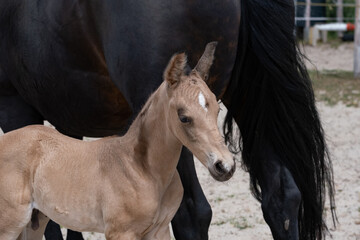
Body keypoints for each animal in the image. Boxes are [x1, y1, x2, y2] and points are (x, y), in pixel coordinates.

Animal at [0, 42, 236, 239]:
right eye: (184, 117)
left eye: (217, 110)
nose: (225, 166)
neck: (143, 169)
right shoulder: (121, 232)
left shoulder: (159, 229)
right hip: (10, 224)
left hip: (34, 222)